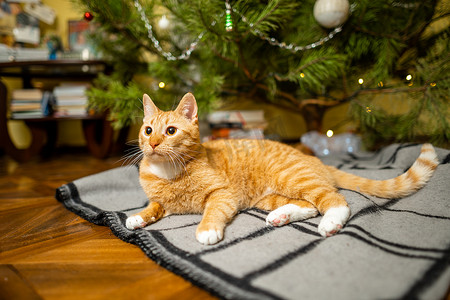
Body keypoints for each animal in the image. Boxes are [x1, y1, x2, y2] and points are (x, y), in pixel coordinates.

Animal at [126, 92, 440, 245]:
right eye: (148, 130)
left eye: (170, 131)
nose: (152, 143)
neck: (168, 173)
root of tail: (318, 161)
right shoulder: (165, 203)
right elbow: (154, 206)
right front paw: (137, 217)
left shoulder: (222, 195)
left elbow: (212, 211)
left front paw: (206, 229)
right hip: (270, 197)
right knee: (310, 205)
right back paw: (282, 216)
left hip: (294, 178)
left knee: (335, 200)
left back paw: (330, 222)